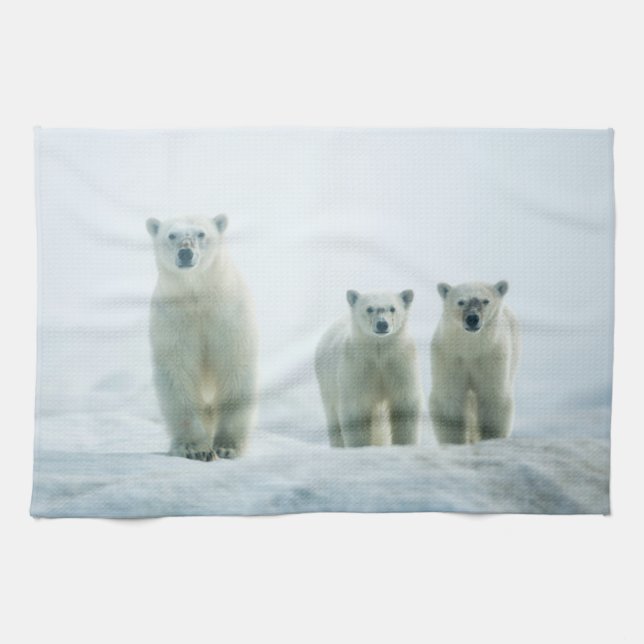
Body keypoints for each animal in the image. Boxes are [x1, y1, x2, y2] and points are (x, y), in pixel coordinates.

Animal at [146, 214, 258, 461]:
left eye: (201, 233)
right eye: (171, 235)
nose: (185, 253)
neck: (198, 296)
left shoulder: (228, 316)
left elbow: (234, 368)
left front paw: (227, 447)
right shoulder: (174, 320)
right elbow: (178, 373)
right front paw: (195, 449)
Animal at [314, 289, 422, 448]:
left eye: (392, 308)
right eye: (369, 309)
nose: (382, 324)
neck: (378, 353)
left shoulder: (399, 364)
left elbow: (404, 405)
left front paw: (404, 444)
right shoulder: (358, 367)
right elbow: (356, 409)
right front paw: (360, 446)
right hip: (327, 384)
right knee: (332, 416)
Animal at [429, 280, 519, 445]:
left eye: (485, 301)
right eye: (461, 301)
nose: (472, 318)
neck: (470, 350)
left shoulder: (491, 356)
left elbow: (492, 398)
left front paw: (490, 438)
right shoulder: (450, 357)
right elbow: (449, 399)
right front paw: (455, 442)